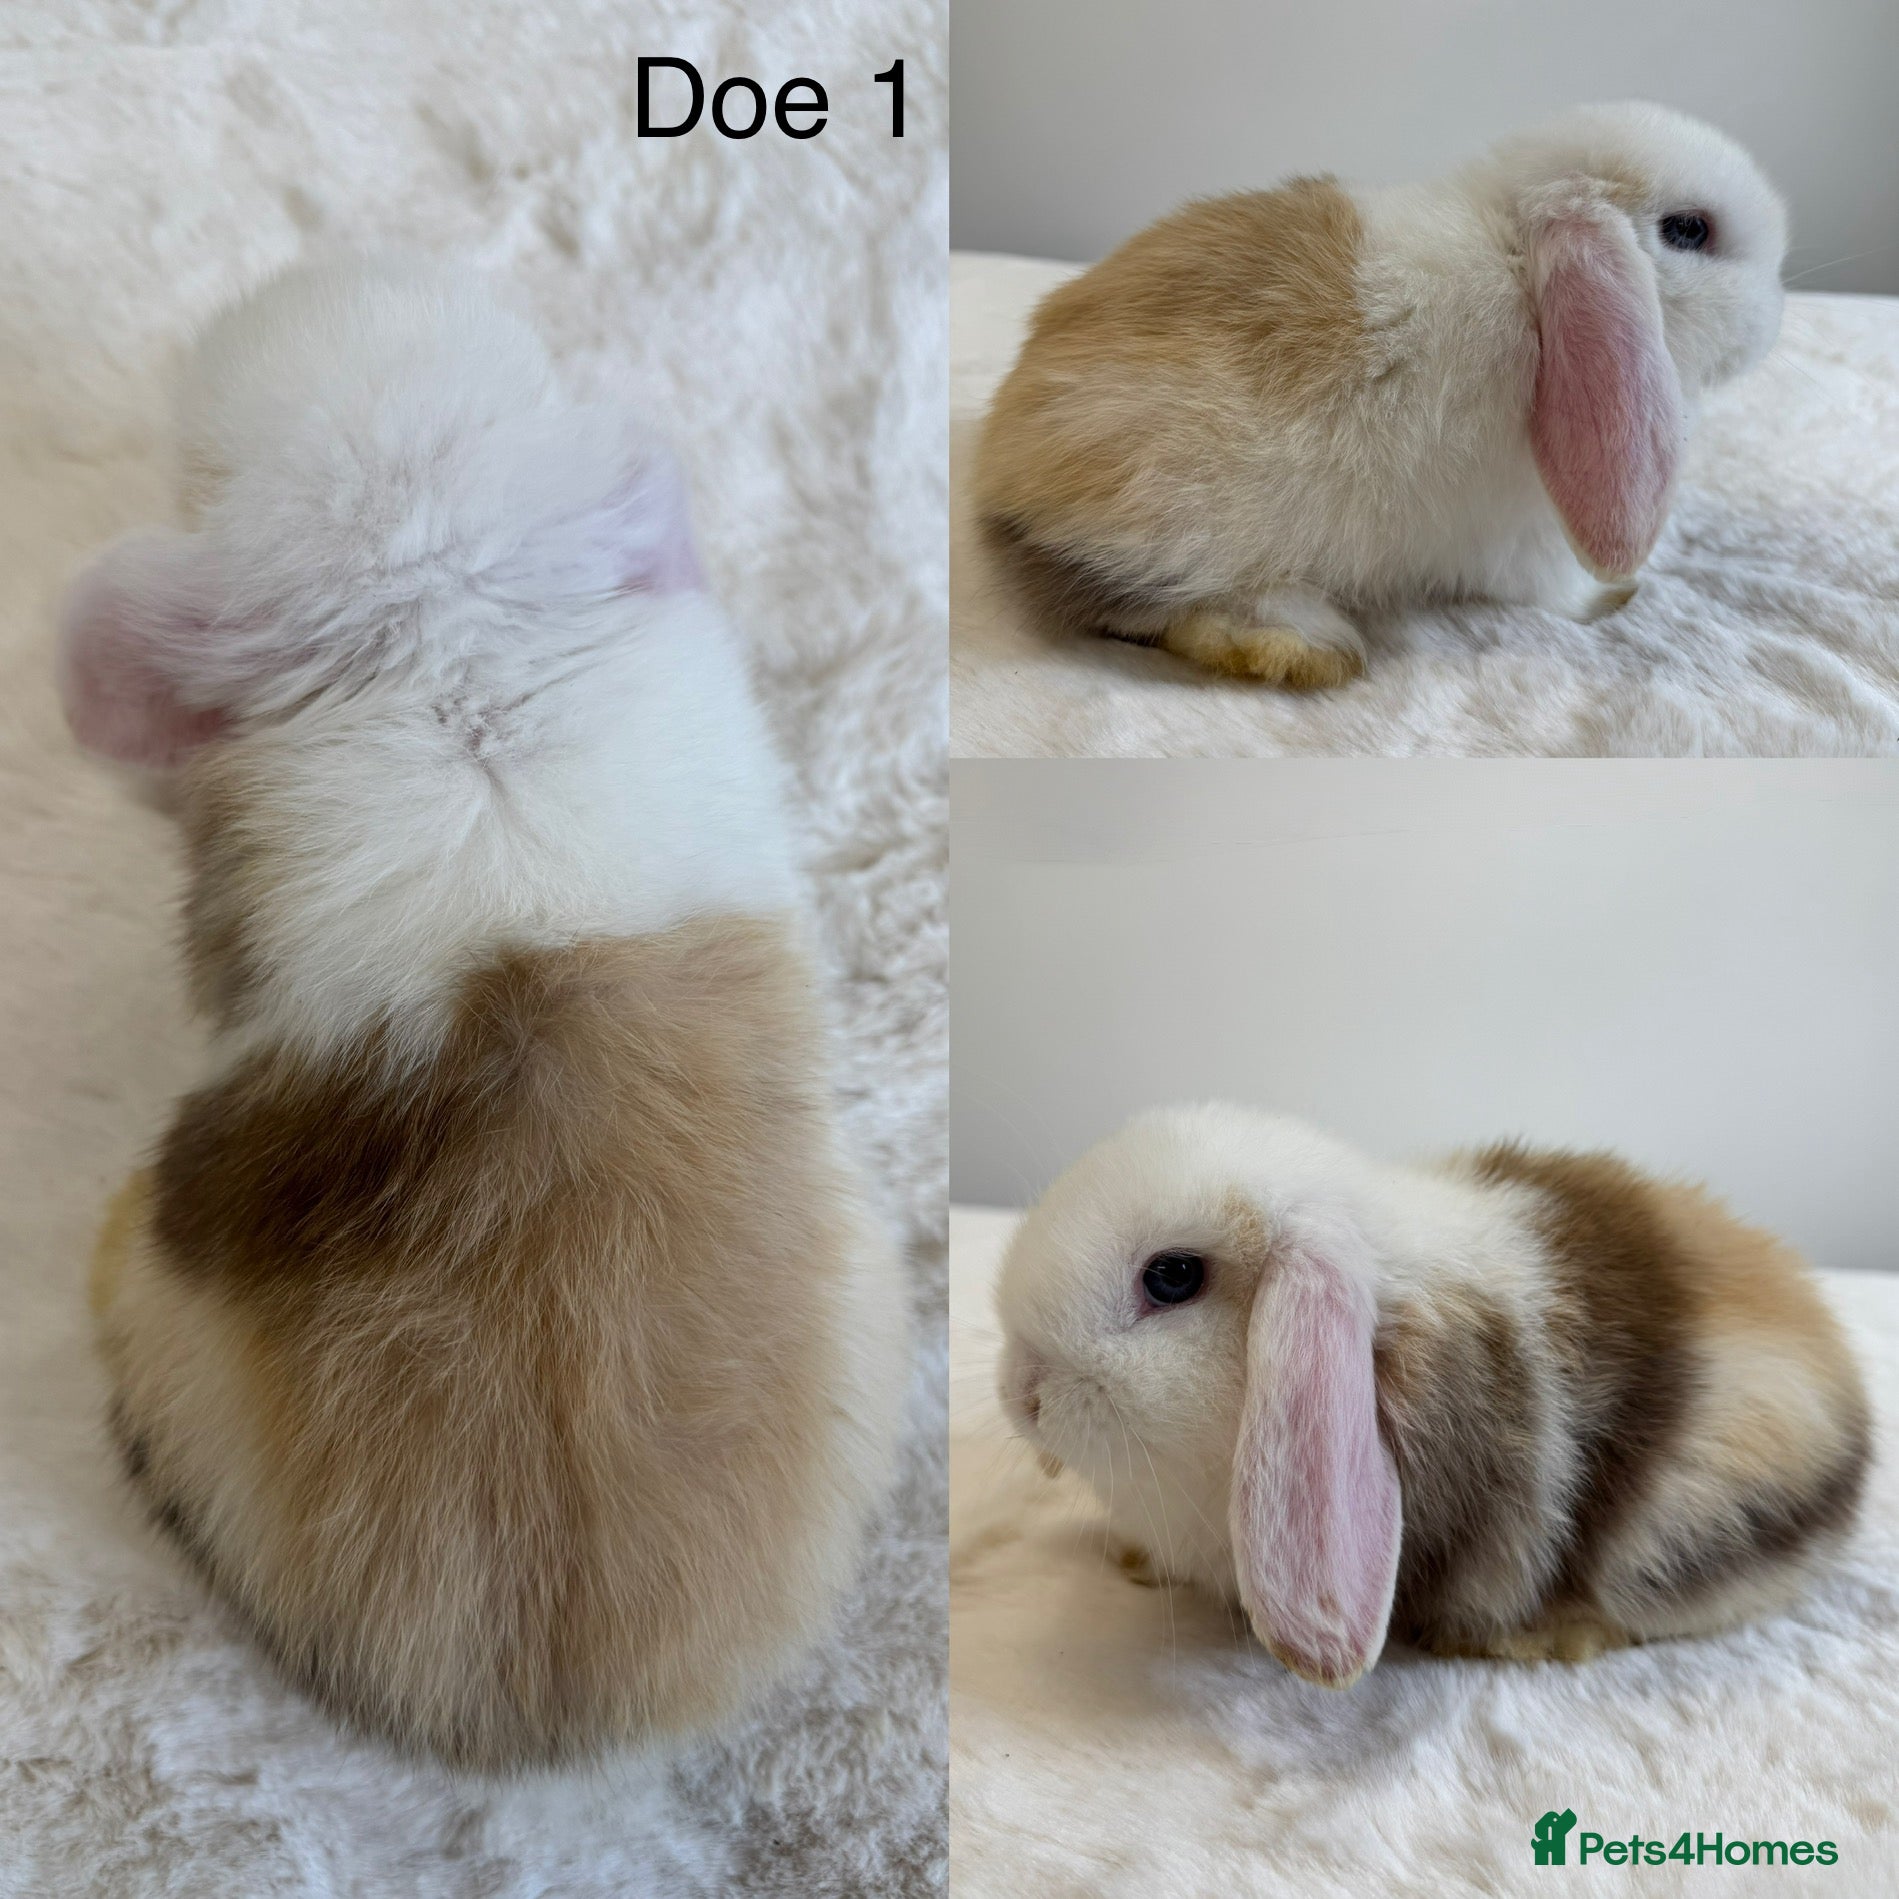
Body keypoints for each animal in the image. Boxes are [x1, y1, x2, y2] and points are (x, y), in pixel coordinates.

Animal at [974, 102, 1788, 687]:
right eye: (1689, 230)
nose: (1774, 317)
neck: (1516, 257)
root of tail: (1001, 469)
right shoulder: (1526, 537)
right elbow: (1553, 597)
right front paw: (1613, 600)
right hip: (1189, 516)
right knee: (1139, 602)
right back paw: (1300, 645)